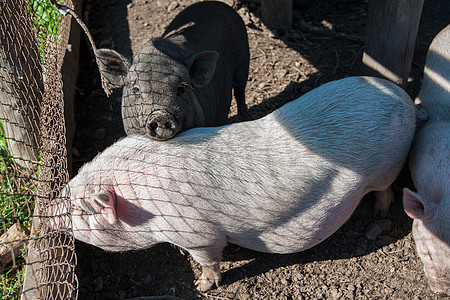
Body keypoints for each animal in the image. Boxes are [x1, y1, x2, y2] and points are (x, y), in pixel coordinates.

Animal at [65, 76, 416, 292]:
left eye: (81, 210)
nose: (55, 207)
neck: (145, 207)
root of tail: (405, 99)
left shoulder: (200, 236)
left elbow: (209, 260)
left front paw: (202, 286)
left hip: (388, 166)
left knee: (386, 191)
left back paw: (377, 215)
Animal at [96, 0, 250, 141]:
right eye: (136, 89)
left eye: (181, 89)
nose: (161, 115)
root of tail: (218, 4)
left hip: (243, 58)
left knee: (240, 90)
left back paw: (244, 118)